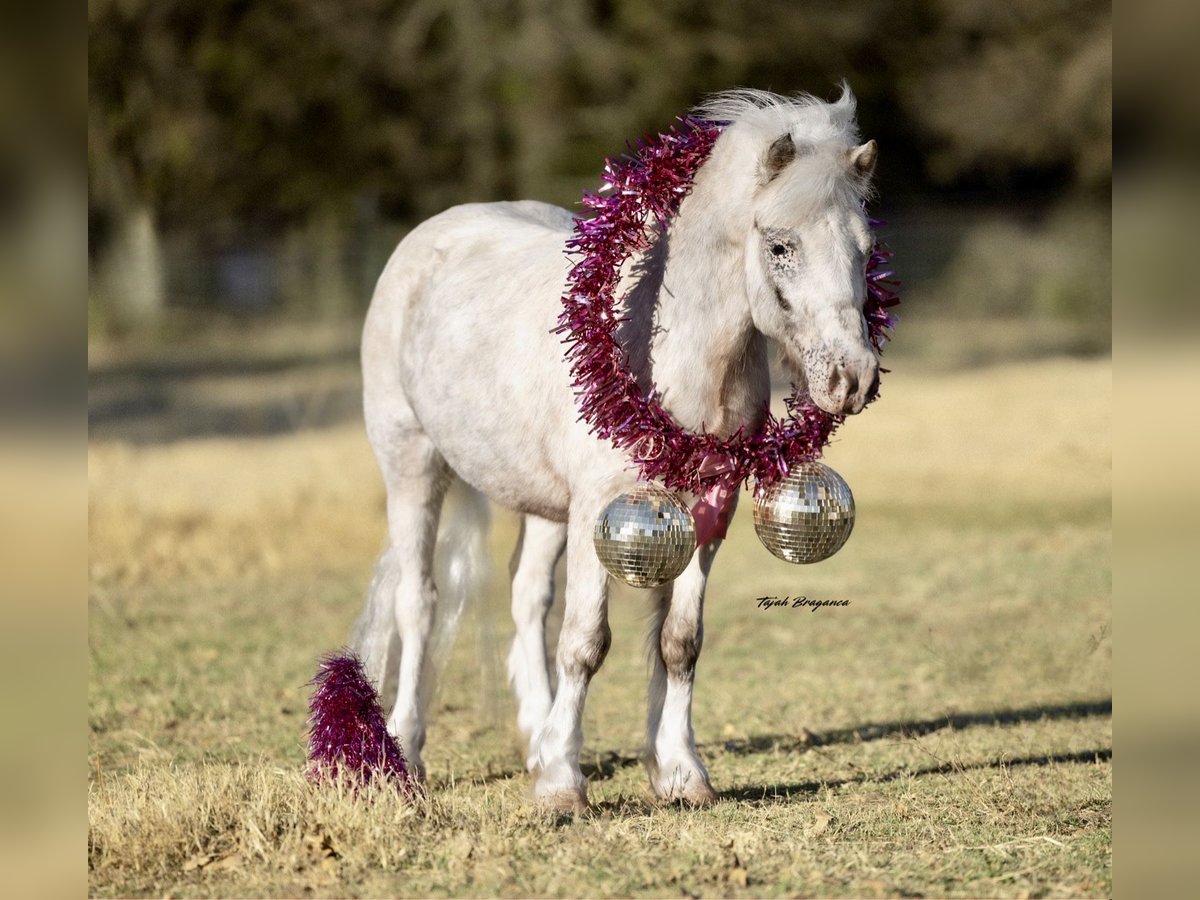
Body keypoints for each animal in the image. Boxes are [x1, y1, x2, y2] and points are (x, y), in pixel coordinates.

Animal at [350, 86, 881, 812]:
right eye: (780, 246)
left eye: (866, 249)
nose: (852, 378)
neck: (665, 350)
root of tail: (427, 239)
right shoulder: (601, 508)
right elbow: (585, 642)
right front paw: (562, 787)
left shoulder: (706, 511)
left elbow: (679, 642)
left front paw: (680, 774)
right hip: (413, 465)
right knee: (419, 601)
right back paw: (404, 750)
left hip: (546, 508)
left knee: (527, 598)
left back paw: (535, 737)